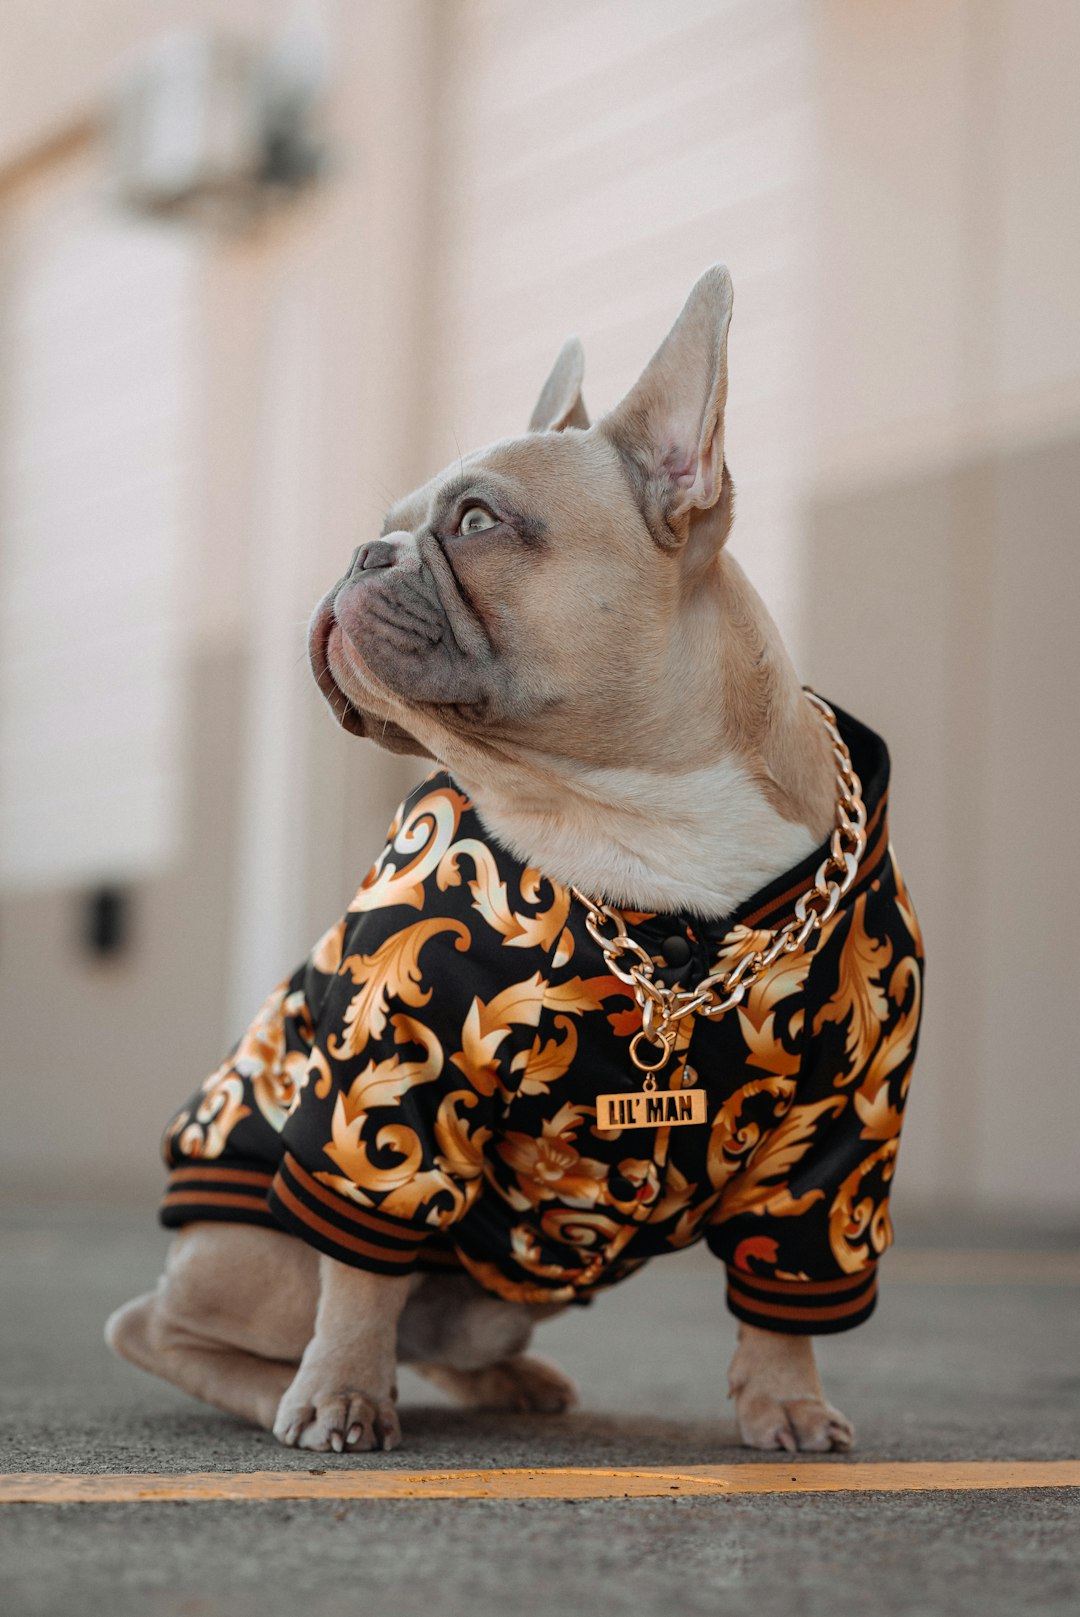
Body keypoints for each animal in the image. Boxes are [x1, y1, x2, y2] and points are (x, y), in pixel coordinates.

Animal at [105, 265, 924, 1455]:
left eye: (477, 521)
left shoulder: (841, 1141)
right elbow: (361, 1268)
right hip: (263, 1248)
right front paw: (340, 1398)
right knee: (166, 1325)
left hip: (491, 1299)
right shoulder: (383, 1093)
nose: (362, 555)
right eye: (386, 528)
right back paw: (298, 1389)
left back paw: (506, 1382)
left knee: (438, 1336)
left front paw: (791, 1404)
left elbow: (788, 1293)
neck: (634, 817)